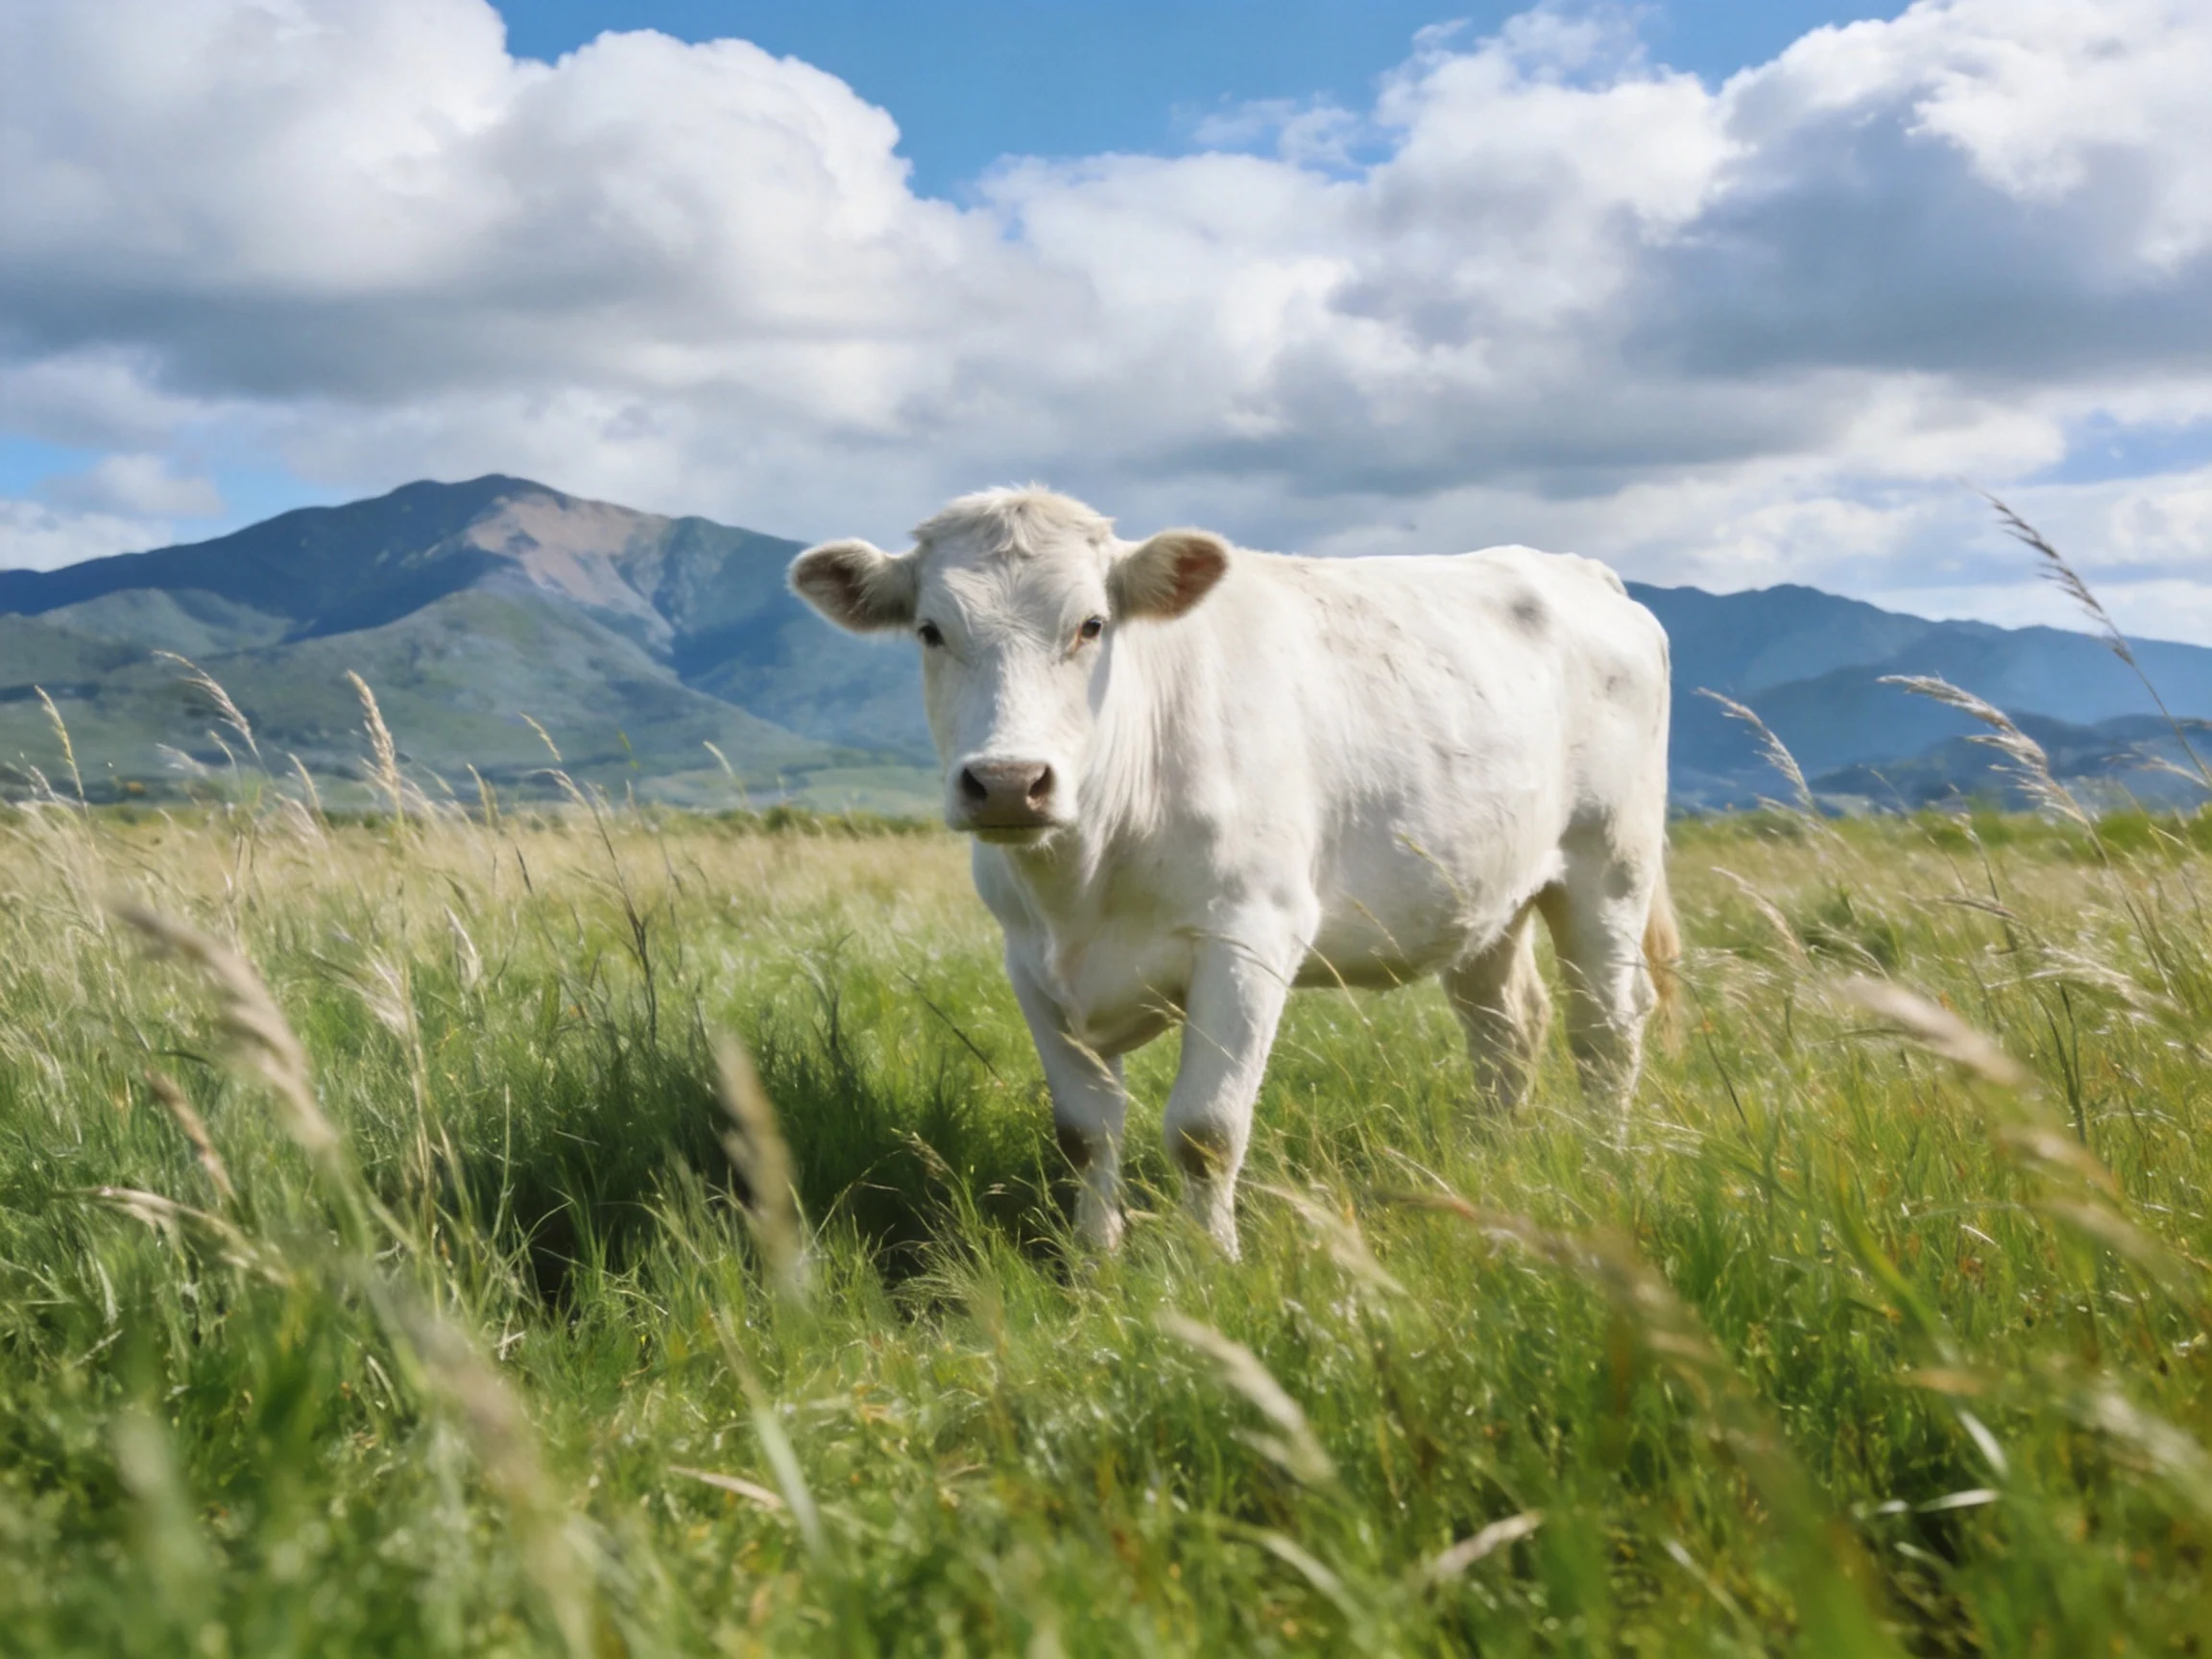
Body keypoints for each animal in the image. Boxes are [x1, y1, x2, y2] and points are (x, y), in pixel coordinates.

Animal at [789, 488, 1675, 1257]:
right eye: (931, 630)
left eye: (1092, 624)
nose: (1009, 781)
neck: (1082, 880)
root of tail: (1579, 570)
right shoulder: (1029, 962)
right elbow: (1084, 1132)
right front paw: (1094, 1262)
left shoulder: (1250, 937)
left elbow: (1205, 1130)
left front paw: (1210, 1262)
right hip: (1485, 895)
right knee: (1508, 1028)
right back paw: (1488, 1161)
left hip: (1608, 864)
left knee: (1606, 1026)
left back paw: (1605, 1162)